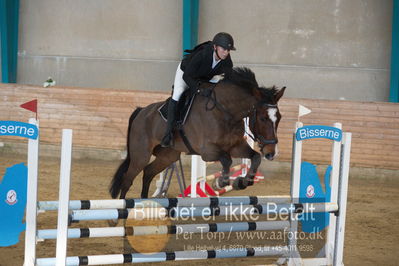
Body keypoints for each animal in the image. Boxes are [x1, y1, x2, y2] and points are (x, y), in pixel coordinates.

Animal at [109, 67, 284, 200]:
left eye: (279, 118)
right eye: (262, 118)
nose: (271, 153)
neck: (225, 111)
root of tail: (140, 111)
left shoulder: (236, 146)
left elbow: (255, 157)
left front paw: (241, 182)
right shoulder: (207, 151)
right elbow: (226, 160)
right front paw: (220, 183)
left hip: (168, 156)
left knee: (148, 172)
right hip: (141, 155)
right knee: (127, 180)